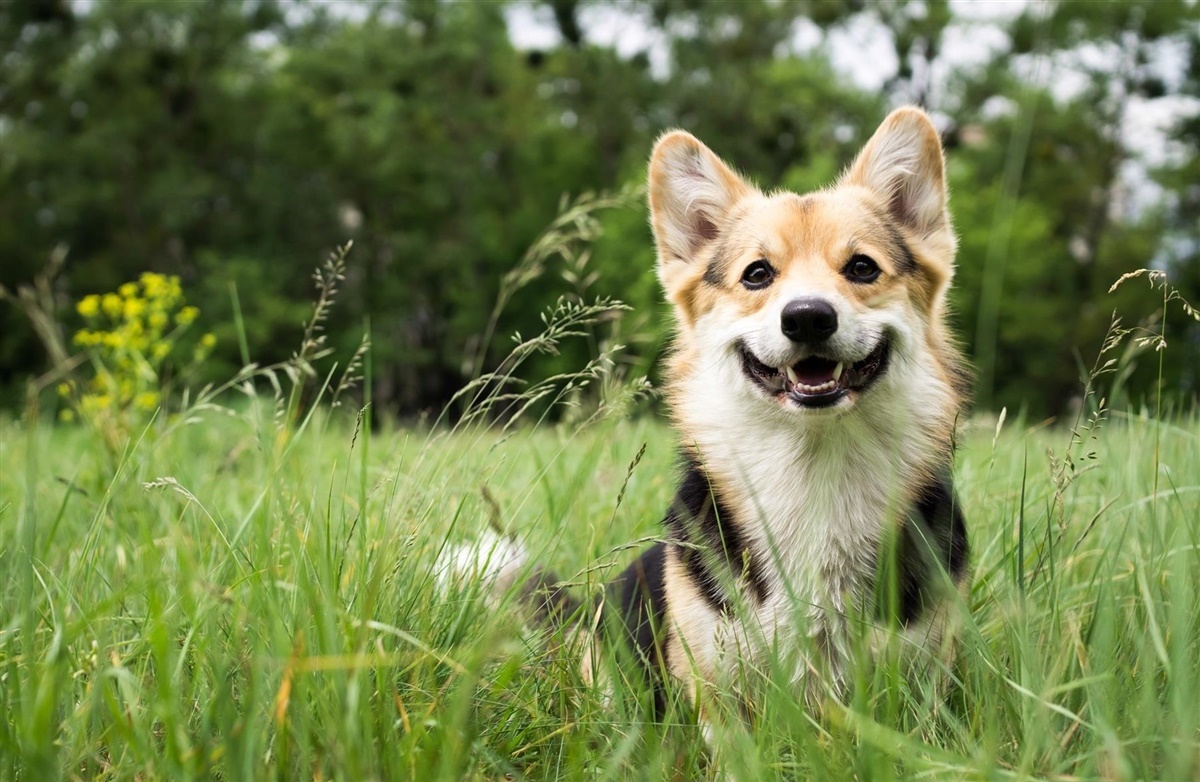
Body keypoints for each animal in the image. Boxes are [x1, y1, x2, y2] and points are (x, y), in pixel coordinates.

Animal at [453, 106, 969, 724]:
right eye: (757, 274)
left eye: (863, 268)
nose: (808, 317)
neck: (813, 462)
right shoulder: (718, 698)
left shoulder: (922, 685)